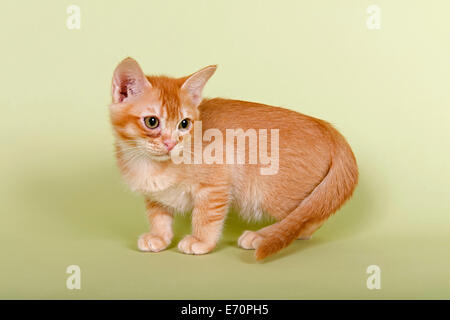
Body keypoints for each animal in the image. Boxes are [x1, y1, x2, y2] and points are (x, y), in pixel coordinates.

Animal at [109, 57, 358, 260]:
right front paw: (159, 237)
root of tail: (328, 128)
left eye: (184, 124)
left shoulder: (216, 185)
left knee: (304, 221)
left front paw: (201, 241)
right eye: (152, 121)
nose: (171, 143)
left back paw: (261, 236)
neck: (149, 165)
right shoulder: (155, 195)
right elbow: (158, 215)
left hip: (275, 193)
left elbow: (206, 217)